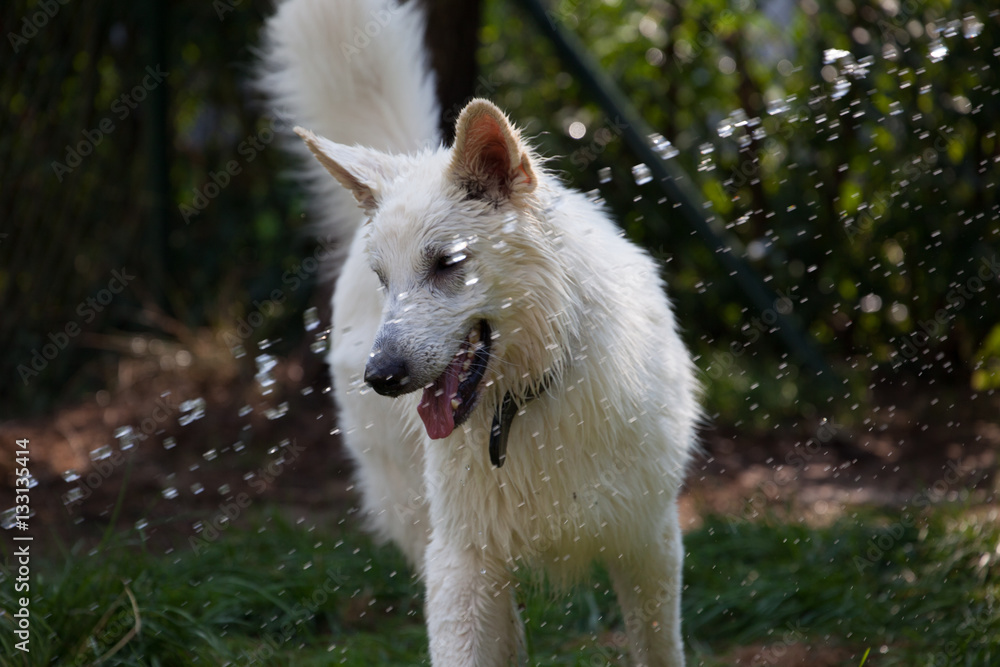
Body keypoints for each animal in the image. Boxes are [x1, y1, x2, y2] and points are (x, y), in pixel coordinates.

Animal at [260, 2, 696, 664]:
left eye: (448, 263)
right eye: (385, 279)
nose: (380, 377)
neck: (528, 399)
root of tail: (418, 153)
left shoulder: (648, 545)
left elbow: (658, 648)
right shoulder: (462, 560)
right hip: (424, 525)